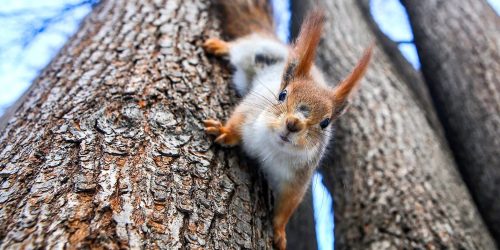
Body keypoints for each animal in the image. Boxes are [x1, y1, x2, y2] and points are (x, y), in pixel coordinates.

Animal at [202, 0, 372, 249]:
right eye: (282, 95)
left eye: (326, 122)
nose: (293, 124)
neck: (272, 146)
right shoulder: (251, 110)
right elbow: (236, 121)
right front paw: (224, 131)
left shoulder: (297, 180)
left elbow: (286, 208)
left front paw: (279, 233)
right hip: (256, 51)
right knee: (240, 46)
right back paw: (219, 46)